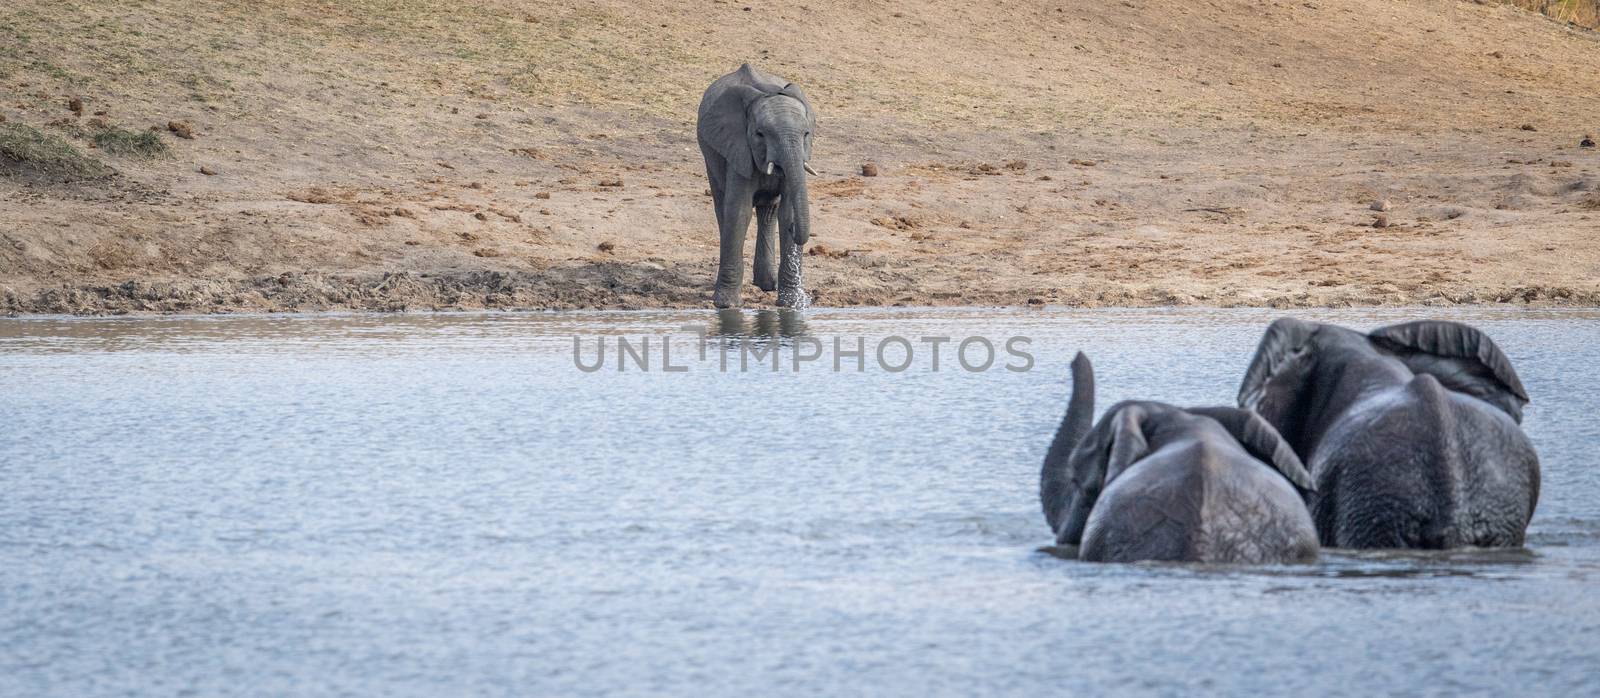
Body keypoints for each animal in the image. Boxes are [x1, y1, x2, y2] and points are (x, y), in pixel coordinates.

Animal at [694, 62, 819, 307]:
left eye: (806, 134)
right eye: (760, 134)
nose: (794, 230)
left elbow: (787, 212)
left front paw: (790, 304)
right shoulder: (739, 148)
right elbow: (739, 213)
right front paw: (727, 305)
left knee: (769, 212)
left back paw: (767, 285)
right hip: (710, 154)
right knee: (722, 207)